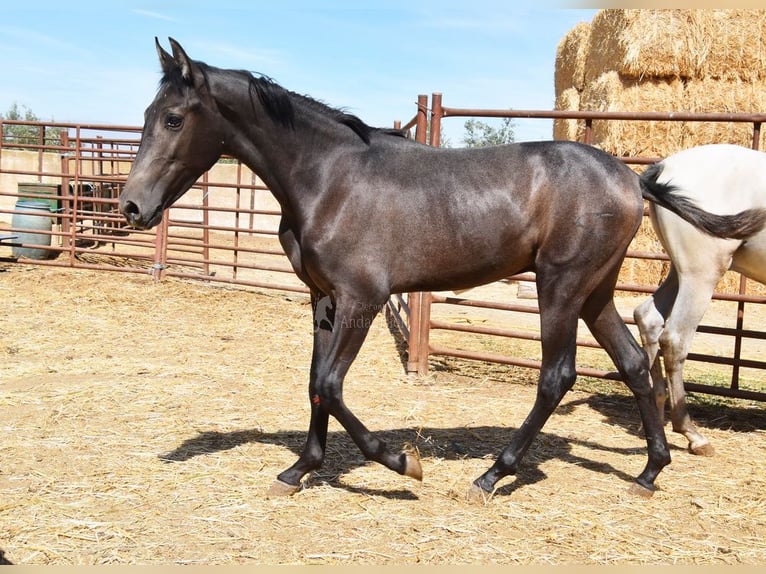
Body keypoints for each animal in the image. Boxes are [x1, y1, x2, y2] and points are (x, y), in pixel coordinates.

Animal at [636, 145, 766, 460]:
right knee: (675, 339)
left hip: (679, 271)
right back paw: (692, 434)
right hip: (701, 273)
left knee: (648, 318)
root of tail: (665, 166)